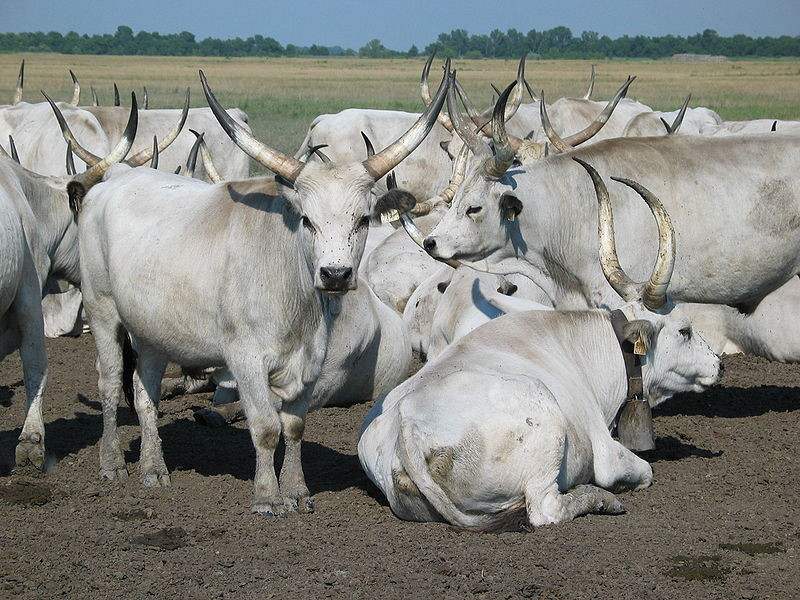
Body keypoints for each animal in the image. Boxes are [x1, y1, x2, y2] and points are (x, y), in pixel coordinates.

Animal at [76, 67, 450, 516]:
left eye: (363, 219)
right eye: (306, 219)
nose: (335, 274)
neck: (294, 295)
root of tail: (112, 181)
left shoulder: (311, 359)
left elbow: (295, 425)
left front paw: (297, 491)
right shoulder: (245, 357)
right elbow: (266, 426)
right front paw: (268, 497)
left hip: (152, 330)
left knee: (144, 390)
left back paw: (153, 468)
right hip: (102, 310)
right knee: (111, 381)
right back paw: (112, 462)